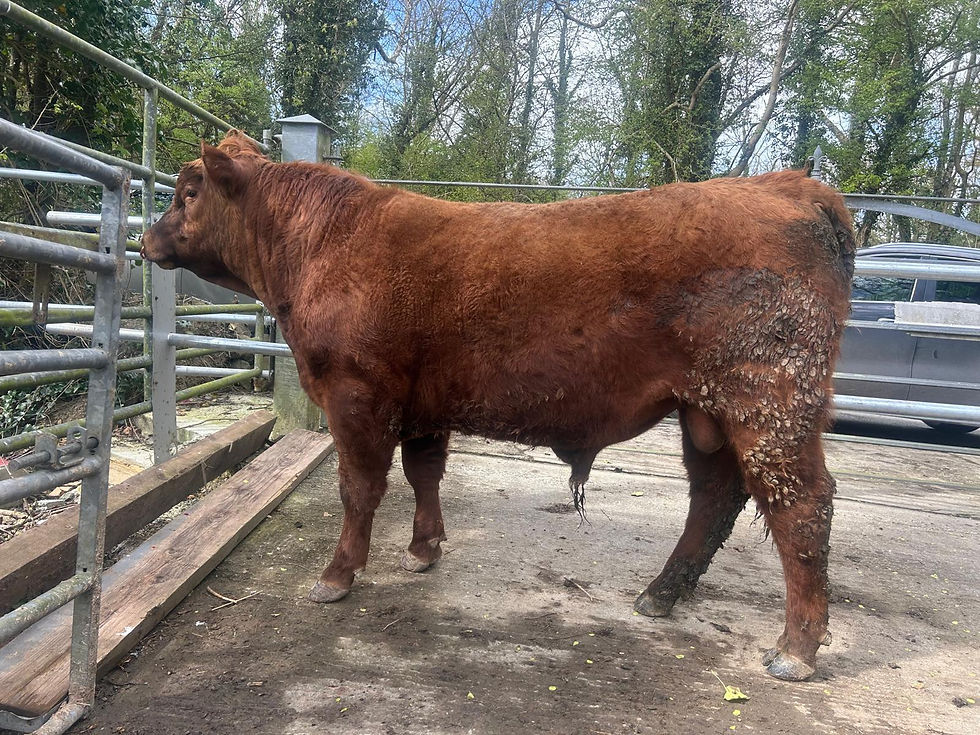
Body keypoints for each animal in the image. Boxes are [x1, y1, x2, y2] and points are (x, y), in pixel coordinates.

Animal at [141, 130, 855, 682]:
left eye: (188, 192)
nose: (147, 240)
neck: (321, 243)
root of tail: (789, 187)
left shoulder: (356, 396)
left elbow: (359, 488)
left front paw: (338, 576)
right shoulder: (422, 406)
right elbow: (423, 473)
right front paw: (424, 549)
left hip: (768, 400)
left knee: (802, 505)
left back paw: (795, 649)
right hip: (705, 411)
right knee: (715, 495)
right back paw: (660, 595)